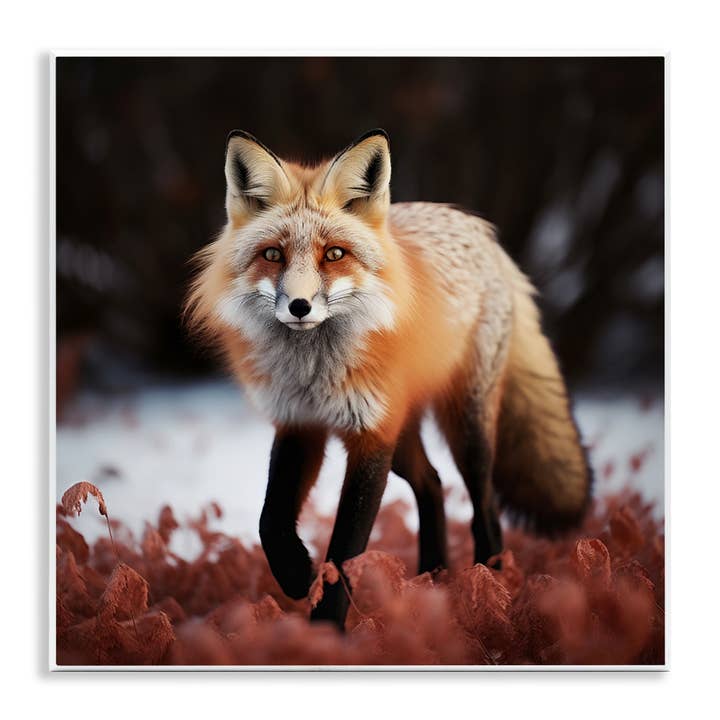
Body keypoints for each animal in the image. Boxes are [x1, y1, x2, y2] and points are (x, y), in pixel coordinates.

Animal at [186, 128, 592, 628]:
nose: (299, 306)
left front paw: (325, 630)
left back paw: (488, 591)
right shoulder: (300, 423)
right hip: (403, 434)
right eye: (273, 255)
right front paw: (297, 575)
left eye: (334, 254)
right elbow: (270, 521)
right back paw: (434, 579)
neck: (314, 373)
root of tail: (480, 230)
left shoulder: (371, 434)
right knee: (433, 484)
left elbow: (344, 551)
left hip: (465, 427)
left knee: (486, 507)